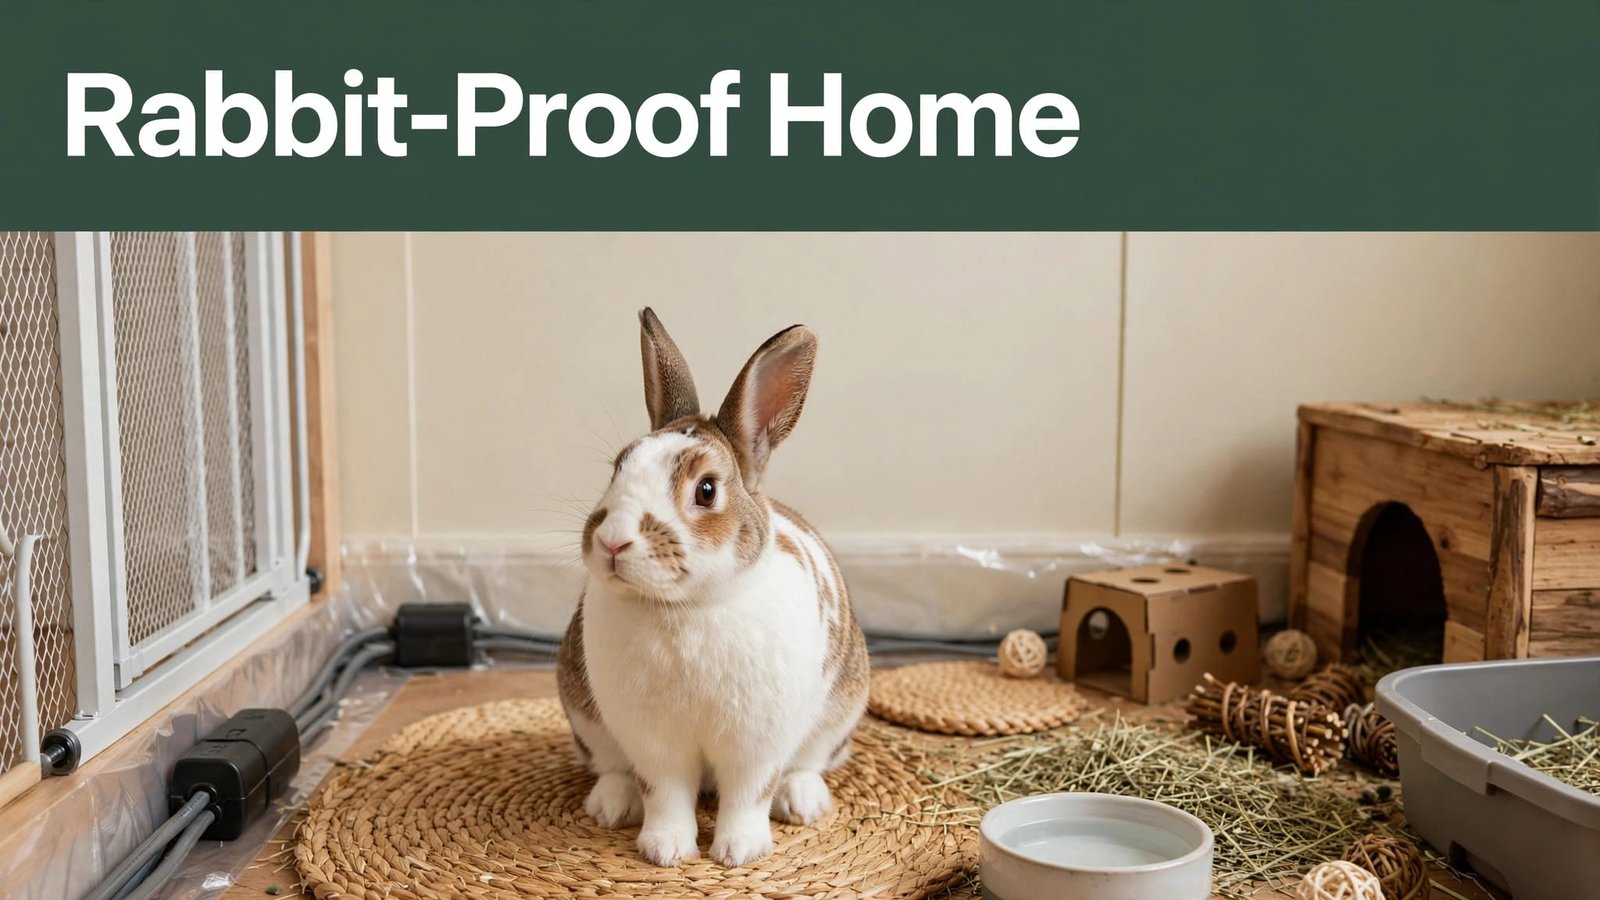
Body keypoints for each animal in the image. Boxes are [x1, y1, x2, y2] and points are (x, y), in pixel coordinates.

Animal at [556, 307, 869, 868]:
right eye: (617, 468)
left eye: (706, 490)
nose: (613, 541)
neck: (687, 607)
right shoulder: (653, 745)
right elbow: (663, 792)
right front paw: (666, 850)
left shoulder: (756, 745)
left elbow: (749, 795)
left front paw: (739, 852)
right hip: (585, 716)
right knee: (612, 767)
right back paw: (610, 806)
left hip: (840, 712)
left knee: (807, 764)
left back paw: (803, 803)